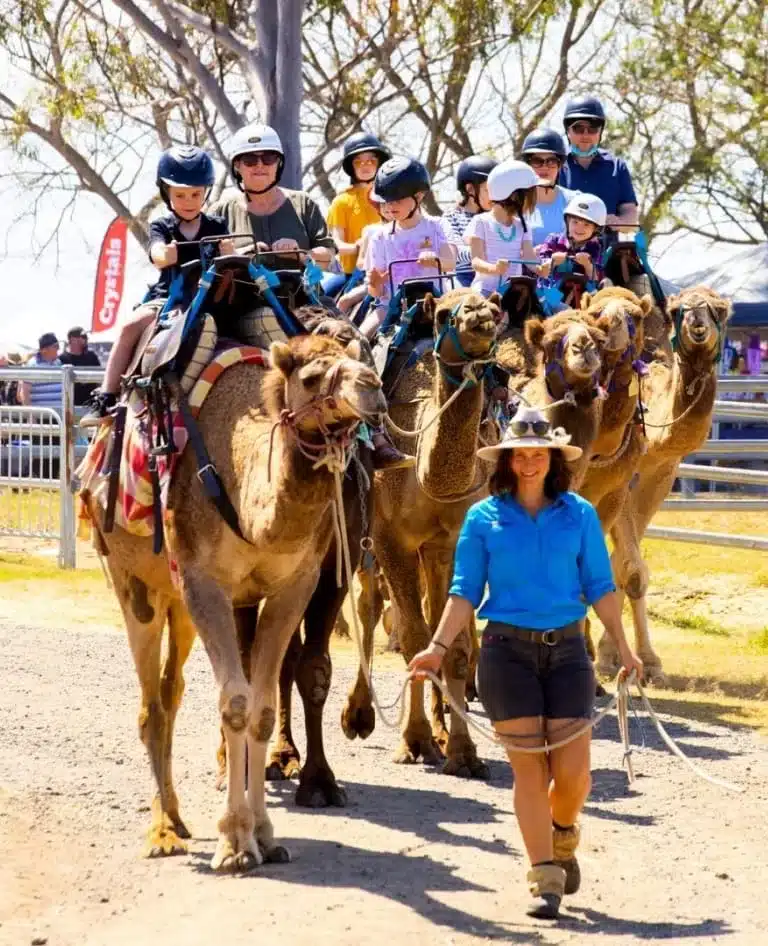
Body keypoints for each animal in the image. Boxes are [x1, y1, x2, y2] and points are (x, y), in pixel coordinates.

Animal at [82, 332, 390, 872]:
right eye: (311, 377)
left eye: (360, 360)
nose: (372, 387)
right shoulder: (204, 583)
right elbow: (235, 703)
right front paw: (235, 844)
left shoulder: (295, 585)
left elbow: (262, 707)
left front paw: (265, 836)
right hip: (133, 582)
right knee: (150, 705)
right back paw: (163, 833)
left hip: (177, 601)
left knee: (172, 690)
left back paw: (177, 818)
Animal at [340, 288, 498, 776]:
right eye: (446, 313)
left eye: (496, 305)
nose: (481, 315)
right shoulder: (391, 541)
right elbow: (412, 639)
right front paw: (414, 741)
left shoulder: (453, 542)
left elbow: (453, 644)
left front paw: (463, 751)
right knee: (367, 607)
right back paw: (358, 715)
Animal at [592, 284, 732, 684]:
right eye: (677, 309)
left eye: (719, 309)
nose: (698, 325)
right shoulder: (620, 477)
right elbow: (629, 567)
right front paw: (627, 661)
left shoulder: (663, 471)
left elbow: (623, 567)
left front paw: (628, 659)